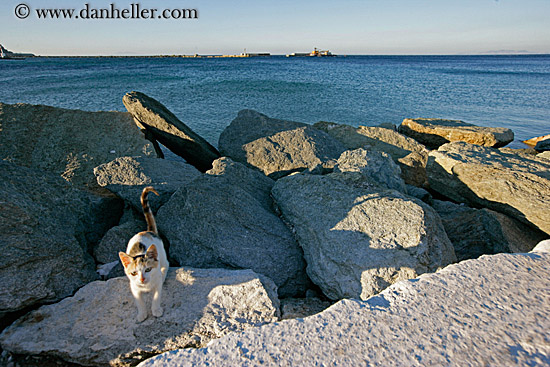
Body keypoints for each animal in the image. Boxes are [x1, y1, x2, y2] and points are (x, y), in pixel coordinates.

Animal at [117, 188, 167, 324]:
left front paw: (156, 310)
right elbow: (139, 301)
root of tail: (147, 231)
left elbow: (156, 296)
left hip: (162, 255)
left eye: (148, 269)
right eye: (134, 273)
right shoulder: (133, 286)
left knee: (166, 264)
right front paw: (142, 314)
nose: (142, 279)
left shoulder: (156, 282)